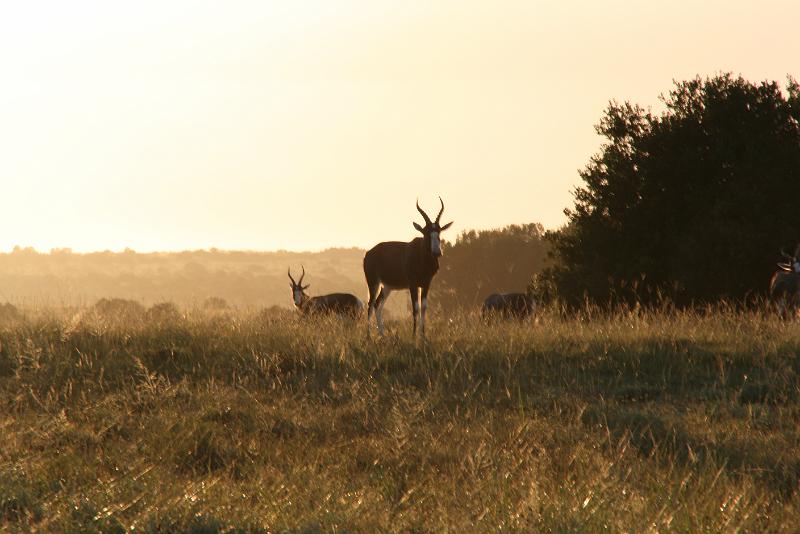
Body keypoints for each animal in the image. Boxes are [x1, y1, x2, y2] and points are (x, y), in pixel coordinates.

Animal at [364, 197, 454, 340]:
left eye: (439, 232)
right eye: (426, 232)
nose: (437, 252)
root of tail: (368, 253)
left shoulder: (426, 284)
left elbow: (423, 307)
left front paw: (423, 336)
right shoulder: (412, 284)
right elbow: (415, 307)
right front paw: (413, 335)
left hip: (387, 287)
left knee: (378, 305)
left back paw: (383, 335)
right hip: (373, 282)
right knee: (370, 305)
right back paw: (368, 336)